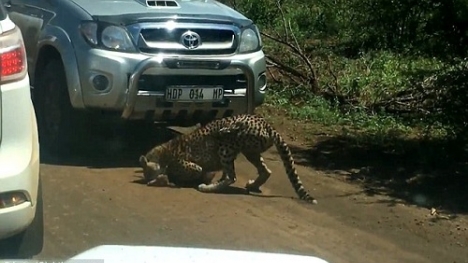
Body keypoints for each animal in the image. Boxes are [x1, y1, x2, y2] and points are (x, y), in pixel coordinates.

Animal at [137, 113, 316, 204]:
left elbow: (195, 170)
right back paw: (252, 185)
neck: (163, 154)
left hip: (228, 146)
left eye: (147, 172)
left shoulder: (192, 165)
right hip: (250, 150)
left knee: (232, 176)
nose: (148, 179)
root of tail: (266, 124)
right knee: (266, 171)